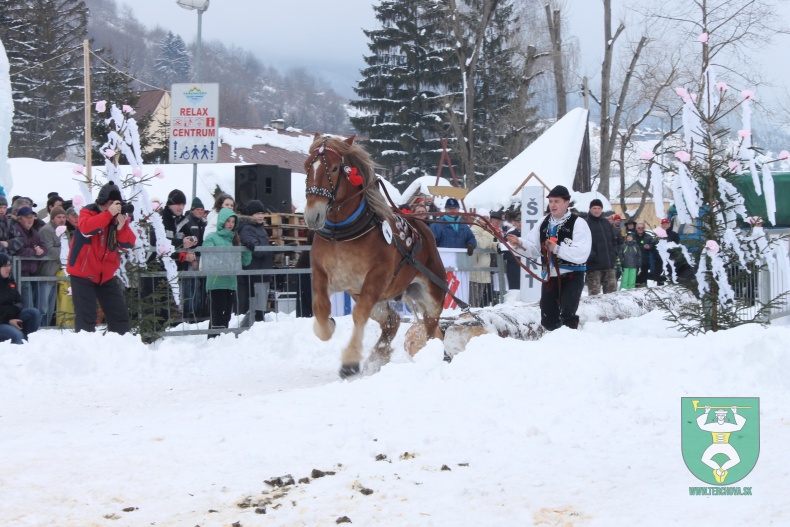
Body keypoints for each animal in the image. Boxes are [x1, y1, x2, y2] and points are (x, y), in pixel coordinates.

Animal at [304, 134, 448, 378]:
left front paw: (350, 362)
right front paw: (328, 325)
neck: (341, 235)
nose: (312, 215)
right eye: (307, 167)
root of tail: (423, 226)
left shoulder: (376, 278)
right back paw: (379, 355)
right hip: (378, 301)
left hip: (432, 297)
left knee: (431, 328)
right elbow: (321, 309)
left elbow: (358, 315)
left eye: (334, 168)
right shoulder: (322, 274)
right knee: (392, 321)